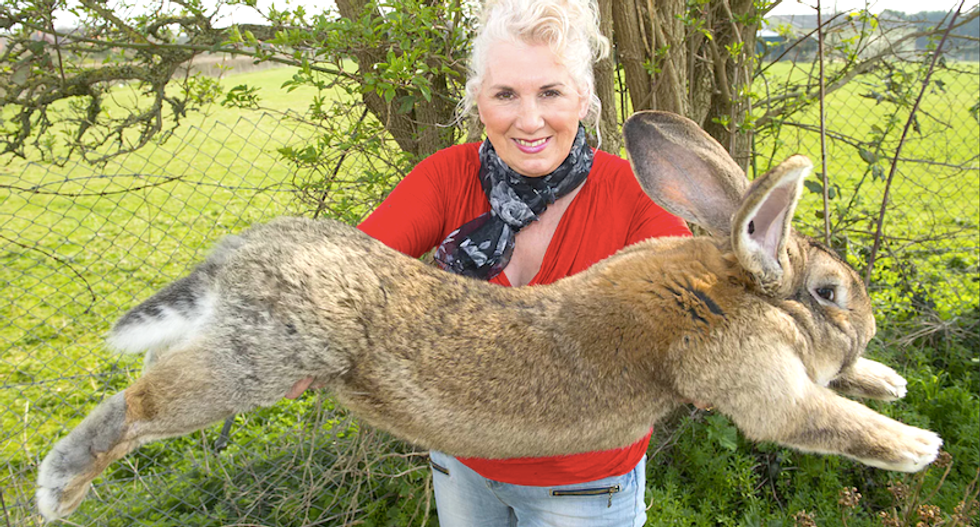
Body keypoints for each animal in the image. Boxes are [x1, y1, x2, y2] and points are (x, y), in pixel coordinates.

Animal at [36, 111, 942, 522]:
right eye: (830, 292)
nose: (866, 326)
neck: (730, 287)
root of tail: (237, 258)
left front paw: (888, 379)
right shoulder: (759, 384)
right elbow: (822, 417)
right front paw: (916, 444)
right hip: (251, 365)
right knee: (139, 404)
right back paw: (57, 486)